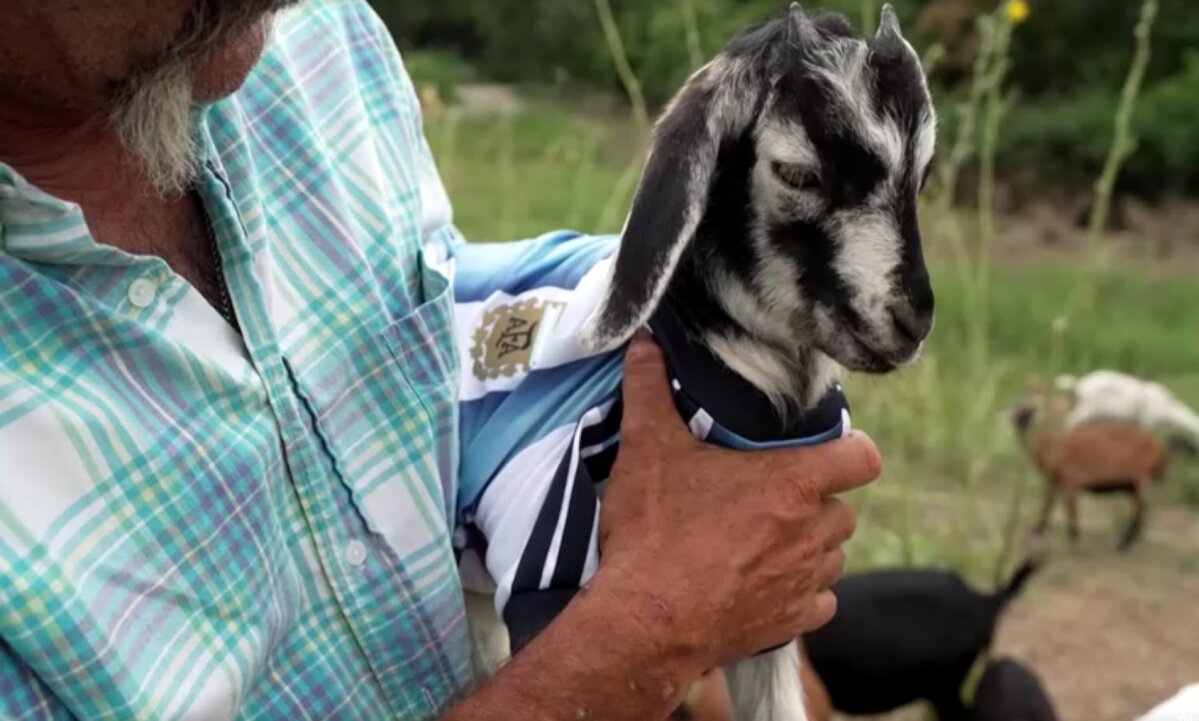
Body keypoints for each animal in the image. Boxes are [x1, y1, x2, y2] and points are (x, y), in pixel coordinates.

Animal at [1011, 394, 1168, 550]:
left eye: (1029, 411)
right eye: (1019, 410)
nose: (1017, 419)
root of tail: (1158, 447)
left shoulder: (1071, 480)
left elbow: (1070, 509)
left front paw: (1073, 538)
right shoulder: (1055, 481)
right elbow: (1048, 505)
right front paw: (1038, 530)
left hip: (1141, 479)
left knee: (1142, 511)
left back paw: (1124, 543)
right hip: (1131, 484)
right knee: (1140, 510)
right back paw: (1128, 541)